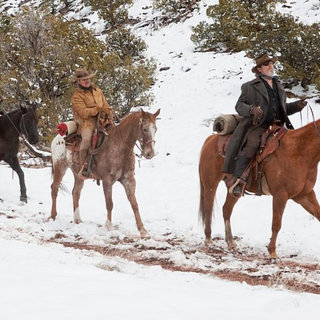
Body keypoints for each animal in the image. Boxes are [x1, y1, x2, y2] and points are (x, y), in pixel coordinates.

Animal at [50, 110, 160, 238]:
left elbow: (134, 204)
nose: (149, 153)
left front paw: (142, 230)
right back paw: (52, 216)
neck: (119, 146)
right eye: (145, 129)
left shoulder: (129, 180)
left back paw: (78, 220)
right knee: (54, 188)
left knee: (76, 192)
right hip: (60, 166)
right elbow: (109, 204)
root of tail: (58, 137)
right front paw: (109, 227)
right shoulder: (107, 181)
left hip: (78, 175)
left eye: (155, 129)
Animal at [199, 119, 320, 258]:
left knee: (226, 210)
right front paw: (272, 252)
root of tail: (210, 139)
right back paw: (208, 239)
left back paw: (230, 242)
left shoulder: (304, 195)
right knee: (208, 208)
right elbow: (276, 224)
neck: (299, 151)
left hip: (233, 189)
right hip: (210, 184)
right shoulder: (280, 195)